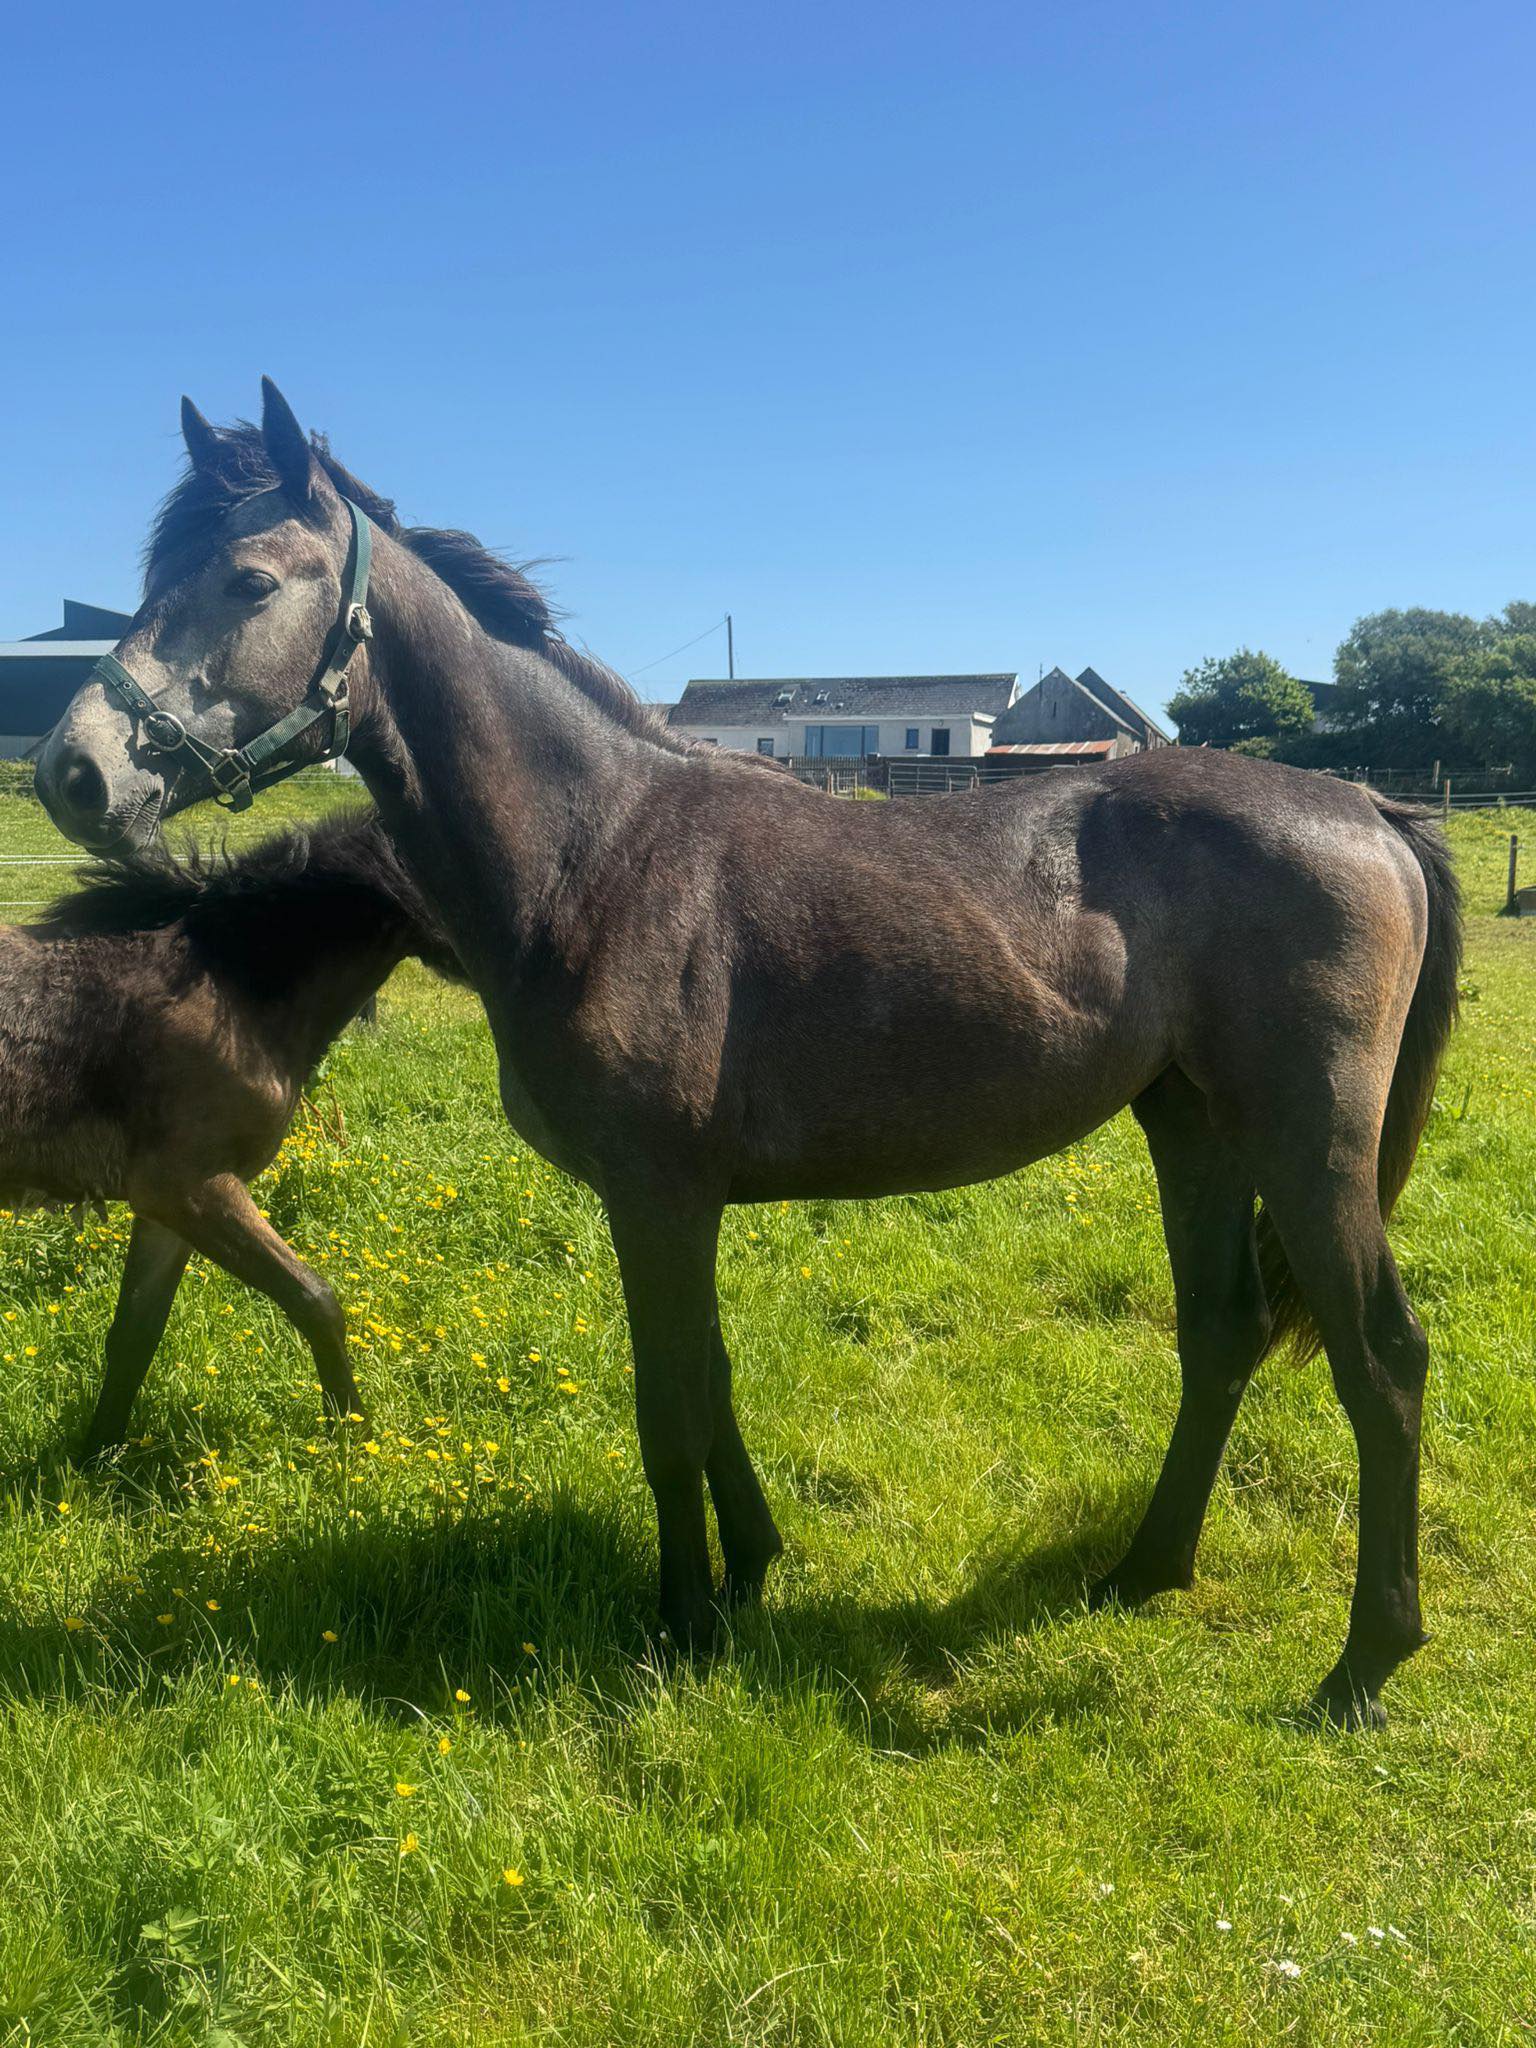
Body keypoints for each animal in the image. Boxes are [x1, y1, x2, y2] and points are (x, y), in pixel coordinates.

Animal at [1, 808, 458, 1458]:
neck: (232, 988)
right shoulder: (193, 1188)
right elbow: (316, 1300)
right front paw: (355, 1440)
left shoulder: (166, 1211)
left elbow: (134, 1335)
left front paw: (96, 1460)